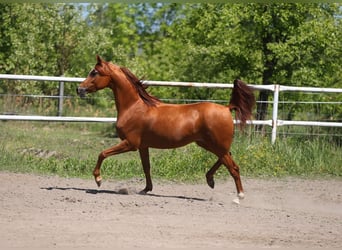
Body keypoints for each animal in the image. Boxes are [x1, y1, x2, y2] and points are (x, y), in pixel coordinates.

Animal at [77, 55, 254, 201]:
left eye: (94, 72)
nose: (79, 89)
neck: (134, 107)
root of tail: (226, 108)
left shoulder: (130, 144)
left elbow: (102, 153)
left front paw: (98, 180)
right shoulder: (143, 146)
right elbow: (146, 167)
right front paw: (146, 189)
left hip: (217, 145)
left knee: (233, 167)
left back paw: (239, 196)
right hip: (208, 143)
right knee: (226, 159)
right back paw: (210, 180)